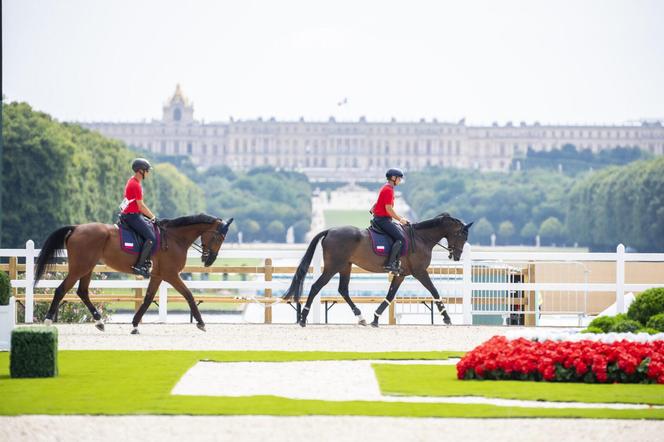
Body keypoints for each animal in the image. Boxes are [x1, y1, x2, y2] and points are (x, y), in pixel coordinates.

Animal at [33, 212, 233, 334]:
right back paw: (48, 321)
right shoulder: (171, 275)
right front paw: (201, 322)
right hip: (80, 267)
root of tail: (76, 228)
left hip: (87, 268)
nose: (209, 260)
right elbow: (188, 294)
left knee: (82, 292)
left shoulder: (158, 276)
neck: (175, 238)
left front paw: (135, 324)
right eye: (219, 237)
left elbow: (147, 299)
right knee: (61, 289)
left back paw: (99, 322)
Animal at [284, 214, 472, 328]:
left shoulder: (401, 274)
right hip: (333, 267)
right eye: (462, 236)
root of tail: (330, 230)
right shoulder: (420, 272)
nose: (457, 256)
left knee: (343, 290)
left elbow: (390, 295)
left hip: (345, 266)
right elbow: (434, 291)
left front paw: (375, 318)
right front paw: (447, 318)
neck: (421, 238)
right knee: (316, 287)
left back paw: (361, 318)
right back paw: (303, 319)